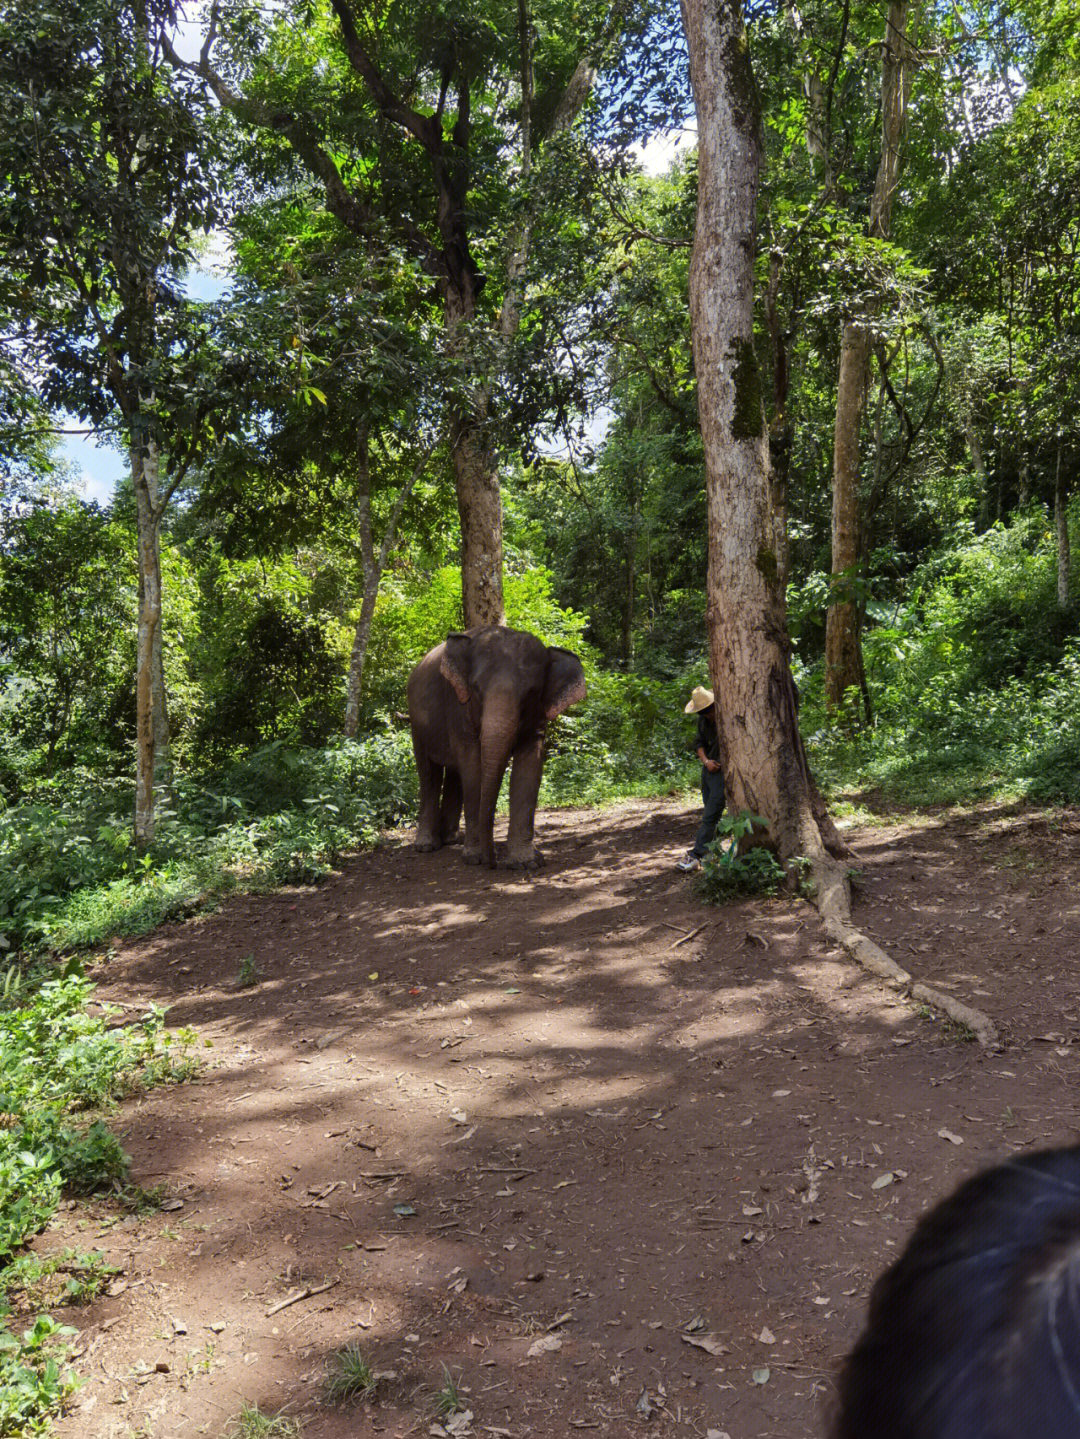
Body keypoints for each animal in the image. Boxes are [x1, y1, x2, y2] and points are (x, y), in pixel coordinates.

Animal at [408, 627, 592, 863]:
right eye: (476, 689)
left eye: (531, 693)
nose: (493, 861)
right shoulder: (457, 705)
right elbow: (472, 768)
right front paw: (474, 858)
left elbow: (529, 769)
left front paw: (526, 861)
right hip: (417, 725)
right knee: (429, 774)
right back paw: (426, 846)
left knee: (453, 774)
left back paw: (451, 839)